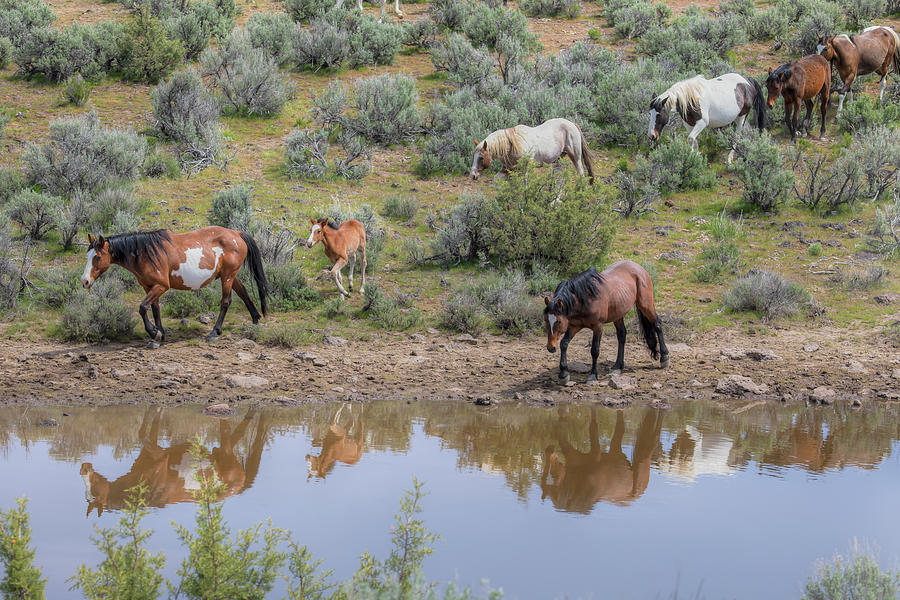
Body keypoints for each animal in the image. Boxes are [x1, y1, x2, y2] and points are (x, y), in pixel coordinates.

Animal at [81, 225, 268, 346]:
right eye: (87, 255)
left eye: (97, 257)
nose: (85, 281)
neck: (145, 253)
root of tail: (237, 233)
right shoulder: (149, 287)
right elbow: (154, 309)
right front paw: (159, 334)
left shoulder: (161, 286)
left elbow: (142, 308)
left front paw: (154, 332)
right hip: (228, 276)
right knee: (243, 292)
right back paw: (255, 320)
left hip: (227, 277)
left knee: (226, 302)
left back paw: (215, 331)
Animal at [540, 262, 668, 384]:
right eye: (546, 319)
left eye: (559, 321)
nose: (550, 347)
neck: (585, 299)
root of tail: (639, 268)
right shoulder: (574, 326)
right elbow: (564, 344)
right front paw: (563, 374)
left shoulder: (598, 327)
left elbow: (595, 350)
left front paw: (593, 376)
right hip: (618, 314)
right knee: (622, 335)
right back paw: (617, 366)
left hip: (645, 305)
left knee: (657, 324)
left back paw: (664, 358)